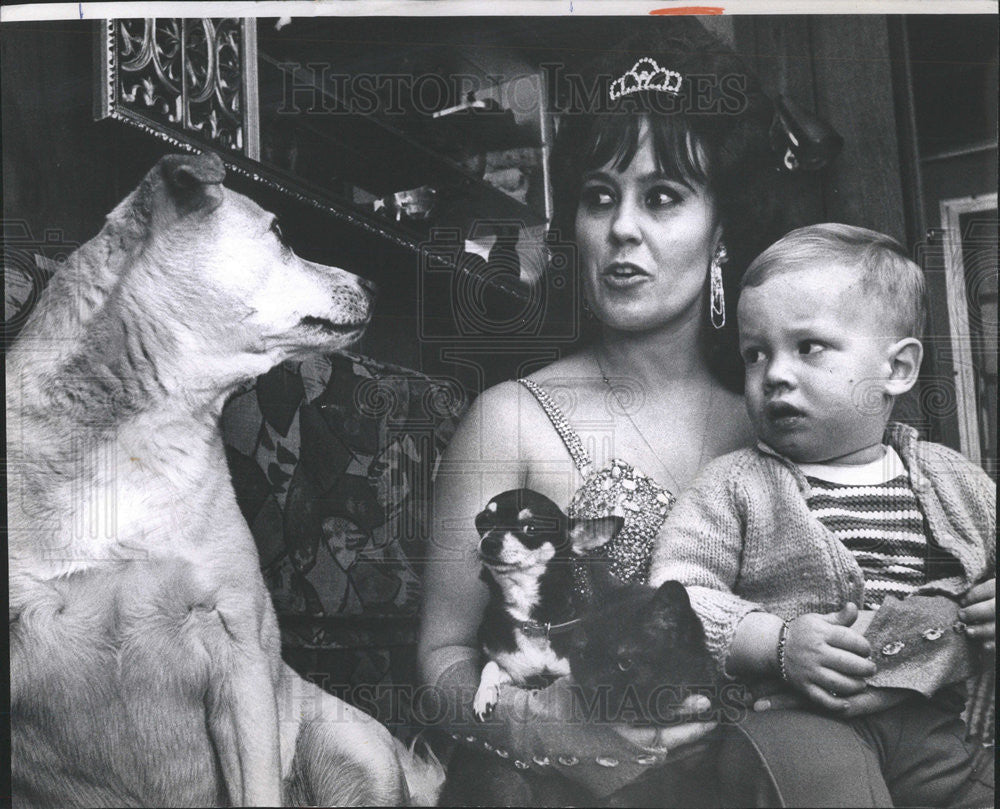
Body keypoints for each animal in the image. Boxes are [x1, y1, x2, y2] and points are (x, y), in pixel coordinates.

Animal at [8, 155, 422, 804]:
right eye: (281, 233)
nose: (377, 286)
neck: (140, 431)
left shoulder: (237, 653)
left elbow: (257, 784)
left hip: (354, 748)